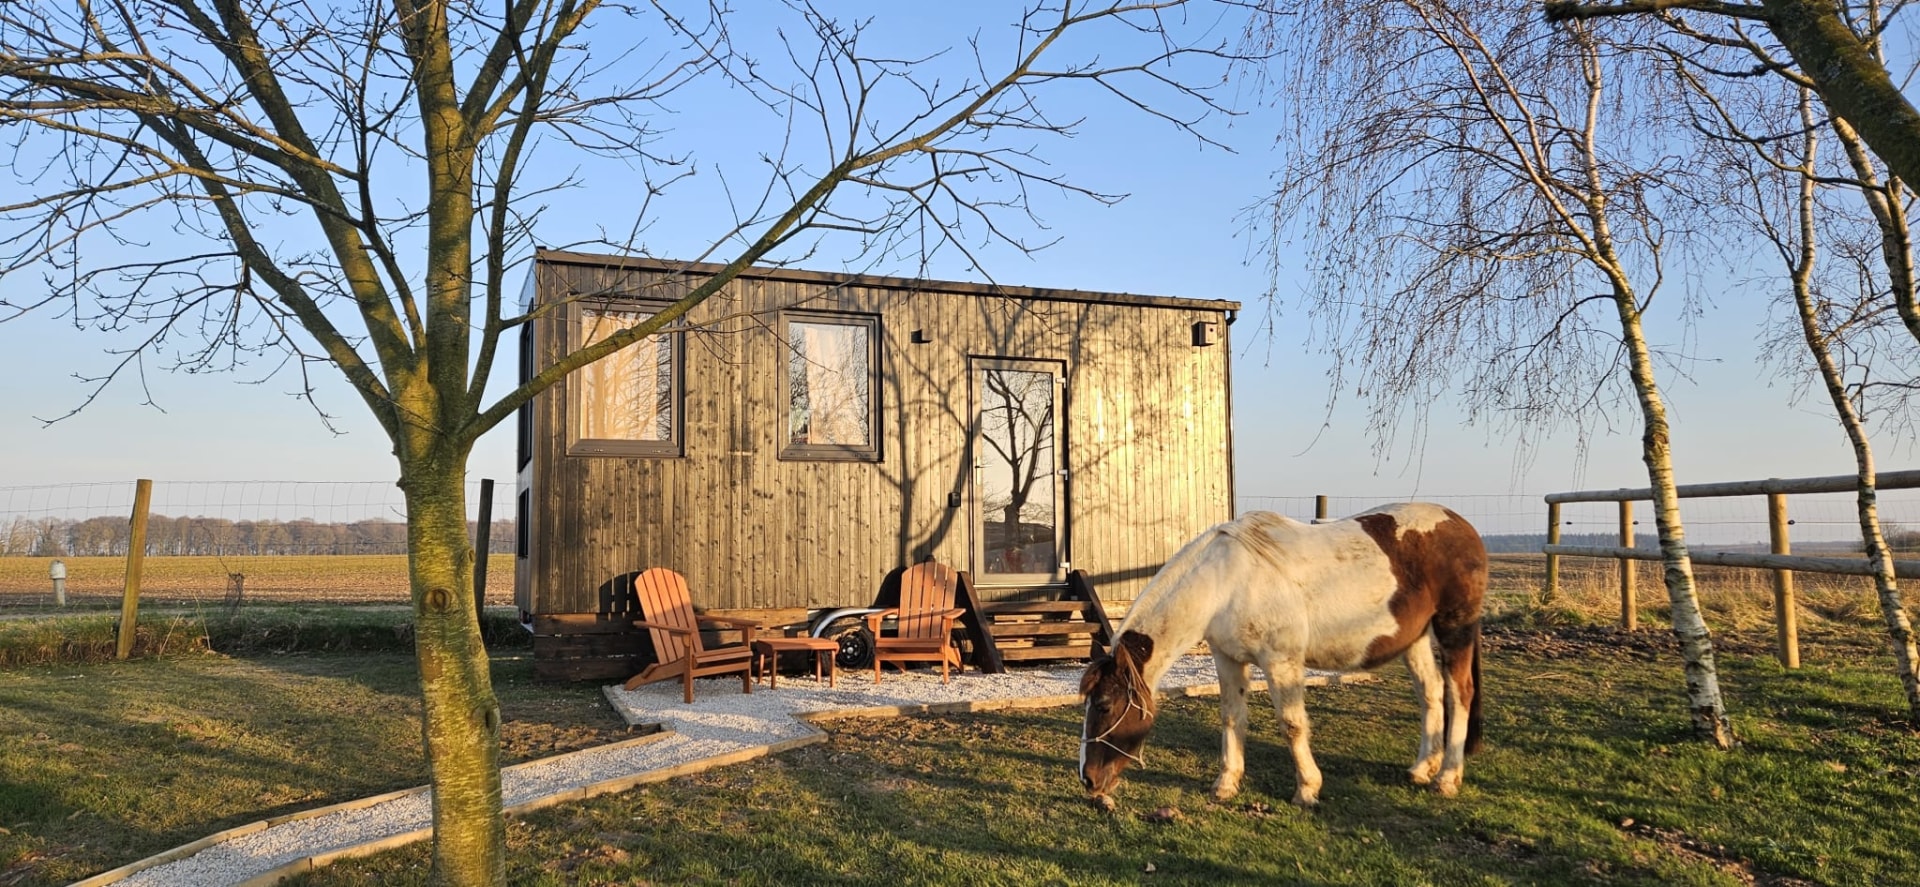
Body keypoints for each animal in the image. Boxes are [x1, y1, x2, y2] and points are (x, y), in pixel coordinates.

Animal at [1078, 502, 1487, 810]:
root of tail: (1463, 526)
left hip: (1454, 630)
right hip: (1415, 639)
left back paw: (1447, 778)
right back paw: (1422, 768)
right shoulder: (1228, 659)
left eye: (1104, 704)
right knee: (1430, 693)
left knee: (1459, 694)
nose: (1088, 779)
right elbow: (1232, 718)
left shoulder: (1281, 662)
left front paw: (1307, 789)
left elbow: (1291, 724)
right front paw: (1226, 784)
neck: (1226, 582)